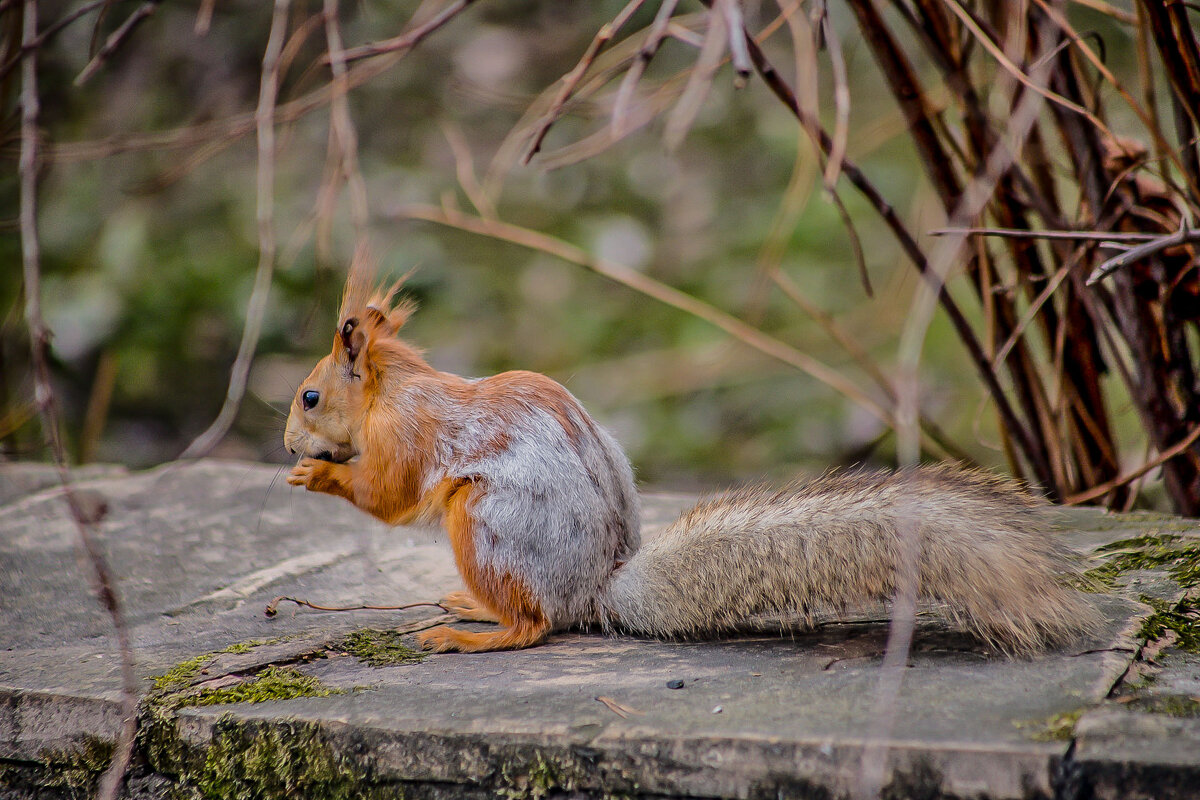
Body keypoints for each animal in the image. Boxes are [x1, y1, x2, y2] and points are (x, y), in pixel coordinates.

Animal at [283, 272, 1099, 652]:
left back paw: (472, 632)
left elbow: (387, 494)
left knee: (536, 624)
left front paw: (319, 475)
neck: (397, 386)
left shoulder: (408, 435)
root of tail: (594, 590)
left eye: (311, 395)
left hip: (484, 524)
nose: (289, 443)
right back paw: (470, 607)